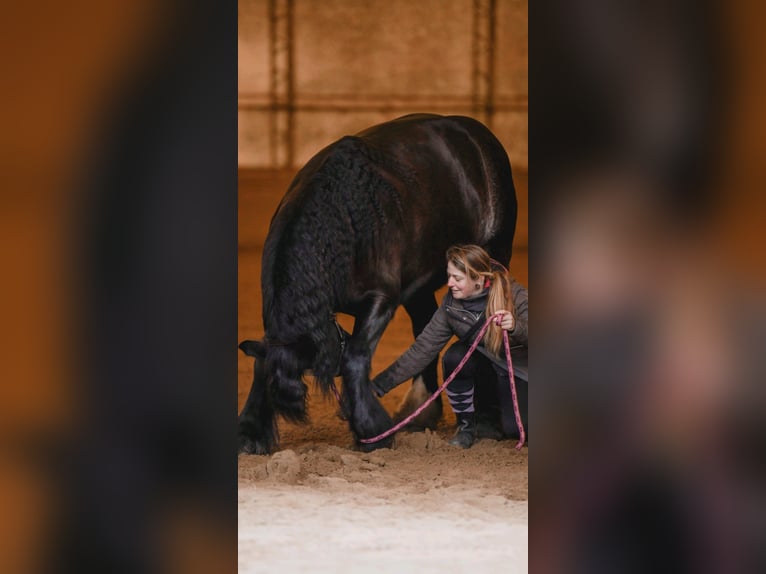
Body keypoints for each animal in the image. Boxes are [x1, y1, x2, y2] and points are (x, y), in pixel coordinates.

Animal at [239, 113, 517, 454]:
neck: (343, 226)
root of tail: (477, 135)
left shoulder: (381, 300)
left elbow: (356, 357)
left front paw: (372, 432)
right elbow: (262, 360)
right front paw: (250, 434)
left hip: (495, 255)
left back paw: (488, 423)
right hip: (419, 288)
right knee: (424, 331)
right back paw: (417, 413)